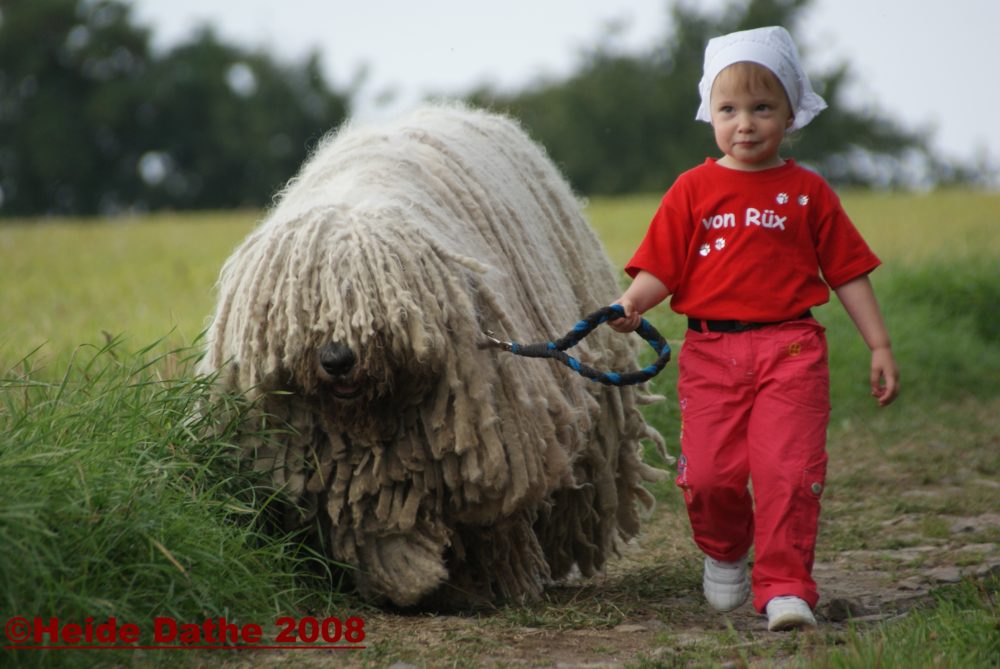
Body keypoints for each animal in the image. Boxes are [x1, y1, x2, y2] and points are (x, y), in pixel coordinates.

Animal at [197, 103, 664, 604]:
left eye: (377, 303)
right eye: (303, 306)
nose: (338, 360)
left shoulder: (494, 440)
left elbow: (491, 514)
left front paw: (484, 579)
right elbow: (371, 519)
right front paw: (407, 573)